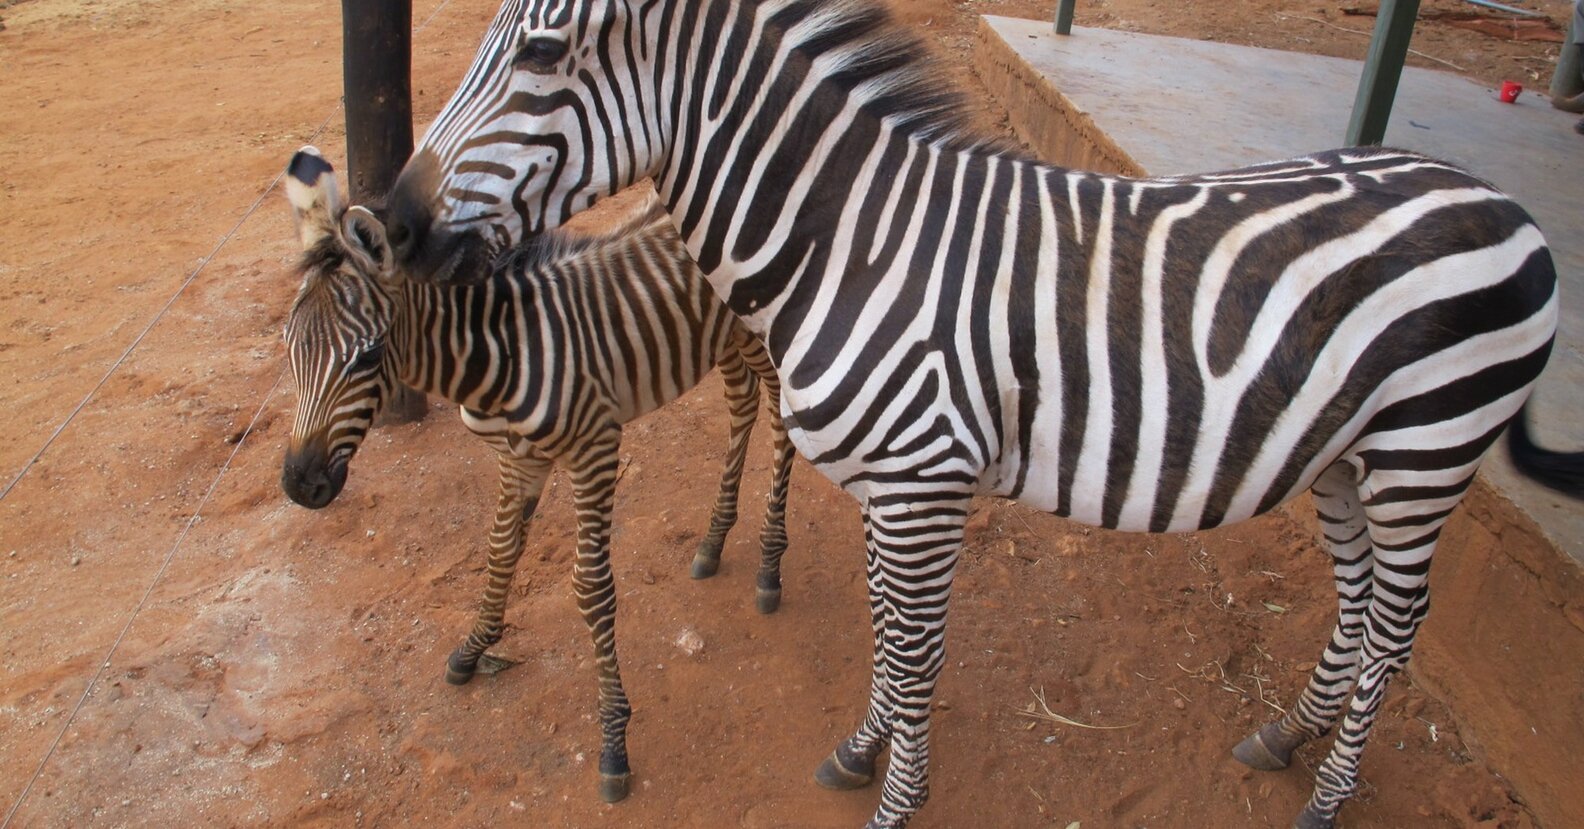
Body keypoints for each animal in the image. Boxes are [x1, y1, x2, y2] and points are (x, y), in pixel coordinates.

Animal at [277, 147, 797, 804]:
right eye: (288, 346)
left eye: (368, 357)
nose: (299, 485)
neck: (500, 350)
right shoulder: (517, 456)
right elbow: (500, 550)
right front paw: (473, 649)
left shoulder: (596, 448)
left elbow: (591, 590)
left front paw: (613, 741)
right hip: (721, 338)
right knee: (742, 405)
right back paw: (713, 540)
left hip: (760, 335)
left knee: (779, 417)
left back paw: (769, 562)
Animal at [379, 2, 1577, 827]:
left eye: (541, 54)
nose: (387, 224)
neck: (853, 243)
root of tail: (1506, 204)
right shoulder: (891, 484)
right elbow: (889, 631)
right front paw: (864, 752)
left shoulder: (921, 481)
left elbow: (915, 649)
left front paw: (894, 801)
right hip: (1344, 456)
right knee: (1362, 603)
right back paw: (1288, 736)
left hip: (1427, 451)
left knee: (1399, 623)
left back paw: (1329, 796)